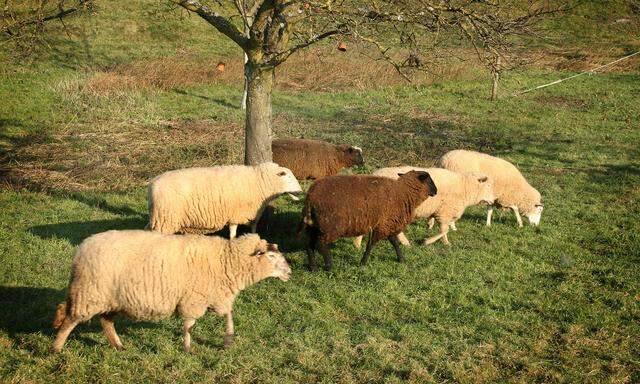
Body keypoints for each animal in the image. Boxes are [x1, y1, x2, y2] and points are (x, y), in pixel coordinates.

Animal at [51, 231, 292, 354]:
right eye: (271, 256)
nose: (290, 272)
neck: (226, 260)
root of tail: (81, 249)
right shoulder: (193, 299)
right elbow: (189, 325)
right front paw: (187, 348)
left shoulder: (216, 296)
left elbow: (229, 315)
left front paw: (228, 340)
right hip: (90, 293)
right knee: (70, 319)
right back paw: (56, 348)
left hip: (112, 298)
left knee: (105, 321)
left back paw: (119, 346)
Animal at [148, 162, 302, 237]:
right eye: (287, 177)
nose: (300, 191)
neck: (258, 181)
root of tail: (152, 184)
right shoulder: (235, 213)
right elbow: (233, 232)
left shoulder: (253, 212)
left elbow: (253, 227)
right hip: (166, 218)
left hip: (159, 217)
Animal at [298, 171, 438, 270]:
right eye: (429, 180)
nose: (436, 191)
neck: (403, 192)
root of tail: (311, 197)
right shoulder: (383, 225)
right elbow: (372, 244)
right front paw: (363, 263)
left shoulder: (386, 223)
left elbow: (394, 242)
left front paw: (401, 259)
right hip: (330, 226)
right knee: (320, 245)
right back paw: (329, 266)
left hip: (315, 225)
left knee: (309, 245)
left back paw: (313, 267)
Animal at [350, 167, 496, 246]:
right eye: (488, 186)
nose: (494, 201)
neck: (464, 187)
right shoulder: (444, 211)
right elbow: (444, 230)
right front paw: (432, 241)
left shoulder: (440, 211)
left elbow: (442, 227)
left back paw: (357, 245)